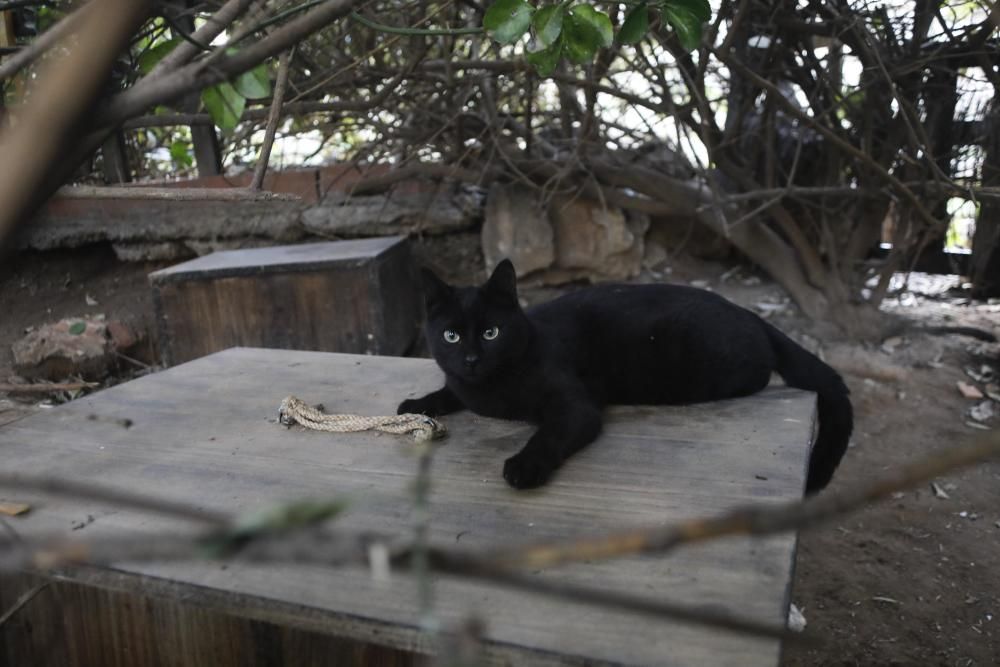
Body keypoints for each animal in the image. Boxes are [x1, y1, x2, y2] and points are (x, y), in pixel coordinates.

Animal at [398, 260, 852, 496]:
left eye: (492, 332)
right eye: (451, 335)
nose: (472, 358)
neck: (490, 388)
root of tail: (751, 314)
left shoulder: (575, 407)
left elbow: (549, 434)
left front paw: (525, 466)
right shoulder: (463, 385)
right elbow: (449, 391)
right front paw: (416, 404)